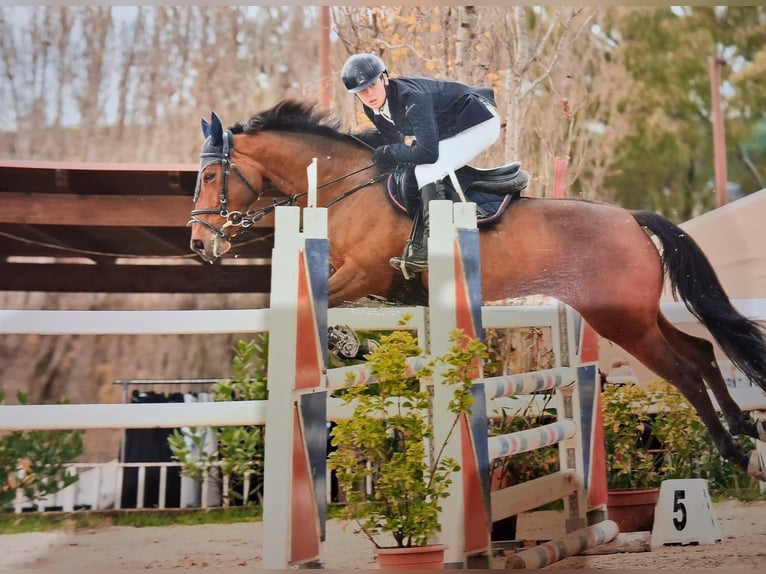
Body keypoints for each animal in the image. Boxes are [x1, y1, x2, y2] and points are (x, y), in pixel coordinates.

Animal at [189, 99, 766, 481]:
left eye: (210, 179)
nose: (199, 243)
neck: (348, 186)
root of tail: (629, 217)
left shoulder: (363, 274)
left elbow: (323, 303)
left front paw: (346, 344)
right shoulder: (380, 287)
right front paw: (350, 344)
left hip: (621, 320)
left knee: (683, 370)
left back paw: (732, 449)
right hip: (638, 313)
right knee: (702, 349)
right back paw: (744, 426)